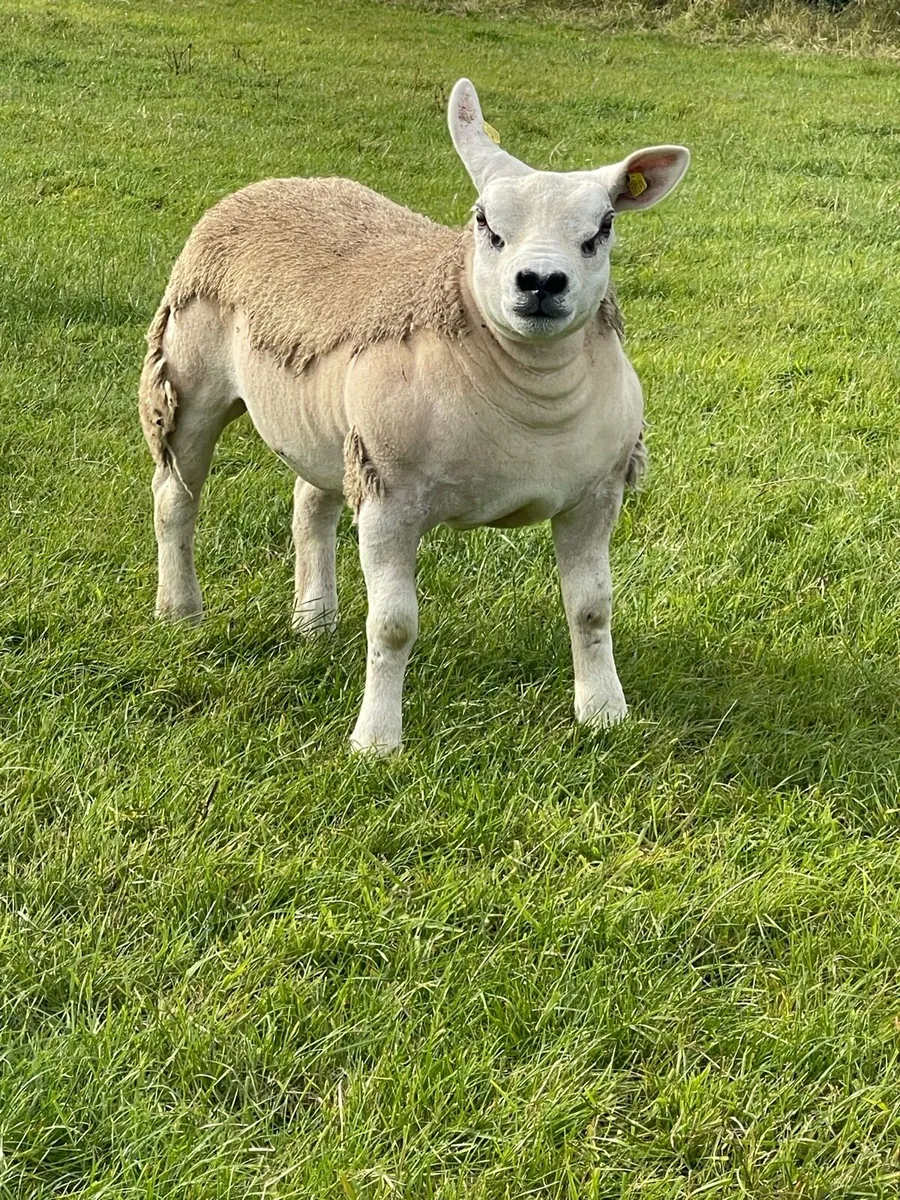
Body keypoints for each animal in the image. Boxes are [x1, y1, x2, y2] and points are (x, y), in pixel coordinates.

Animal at [139, 79, 689, 753]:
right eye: (484, 223)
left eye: (603, 227)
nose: (540, 282)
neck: (530, 396)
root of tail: (279, 181)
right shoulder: (390, 500)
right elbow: (394, 626)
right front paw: (376, 741)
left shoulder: (596, 493)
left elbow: (591, 608)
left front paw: (605, 713)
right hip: (188, 380)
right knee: (176, 500)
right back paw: (180, 611)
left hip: (336, 435)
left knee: (309, 504)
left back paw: (314, 620)